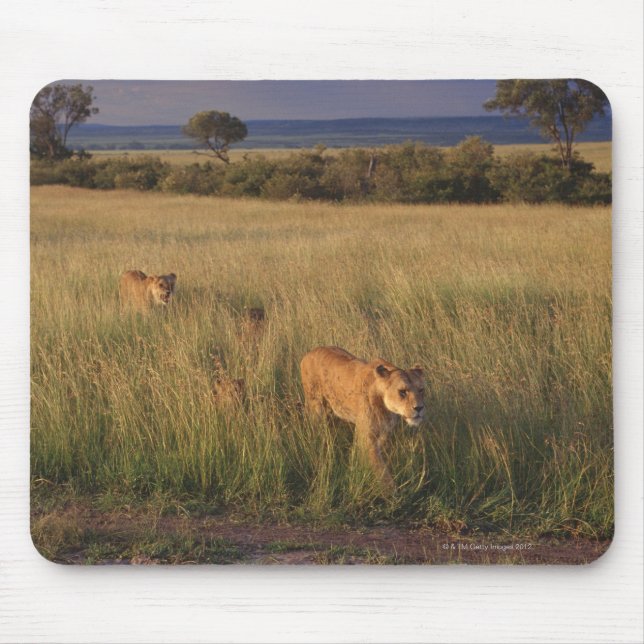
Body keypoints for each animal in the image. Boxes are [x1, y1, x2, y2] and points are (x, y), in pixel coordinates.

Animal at [300, 346, 425, 487]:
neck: (387, 409)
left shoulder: (383, 434)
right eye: (402, 392)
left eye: (421, 390)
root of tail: (310, 352)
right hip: (315, 406)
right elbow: (381, 471)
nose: (419, 408)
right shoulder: (366, 438)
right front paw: (392, 491)